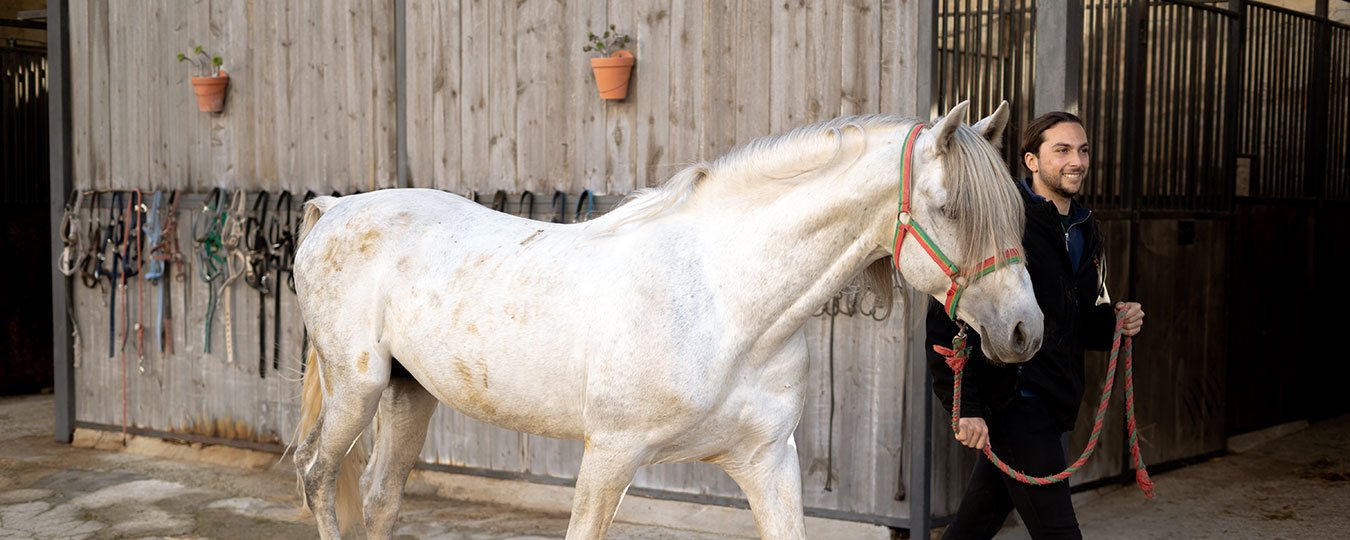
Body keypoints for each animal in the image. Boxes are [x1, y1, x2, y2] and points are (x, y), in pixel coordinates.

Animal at [290, 100, 1044, 539]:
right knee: (319, 477)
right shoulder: (609, 455)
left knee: (382, 498)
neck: (724, 299)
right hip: (357, 391)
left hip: (409, 395)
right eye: (950, 207)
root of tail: (334, 209)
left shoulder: (767, 461)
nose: (1024, 331)